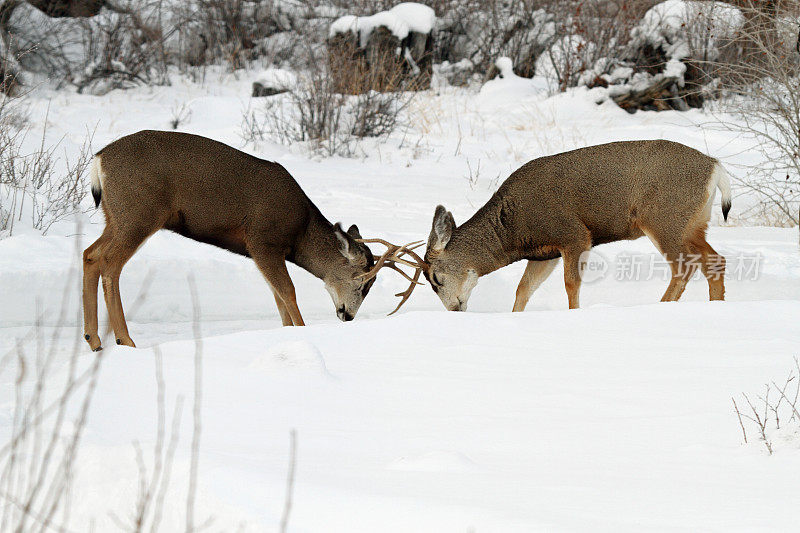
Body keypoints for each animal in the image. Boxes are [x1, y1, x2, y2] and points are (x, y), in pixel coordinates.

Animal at [83, 130, 380, 352]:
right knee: (109, 263)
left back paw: (94, 340)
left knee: (90, 254)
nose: (348, 316)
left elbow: (278, 297)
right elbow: (288, 292)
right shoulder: (262, 240)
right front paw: (302, 332)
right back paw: (124, 340)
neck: (301, 231)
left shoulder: (263, 252)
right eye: (362, 282)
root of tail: (99, 160)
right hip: (140, 213)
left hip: (116, 217)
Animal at [360, 141, 736, 314]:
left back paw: (663, 306)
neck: (514, 229)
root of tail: (715, 166)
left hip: (664, 218)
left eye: (436, 278)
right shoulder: (544, 253)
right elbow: (523, 290)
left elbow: (571, 285)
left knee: (684, 267)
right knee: (715, 261)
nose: (455, 309)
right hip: (694, 222)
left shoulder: (574, 234)